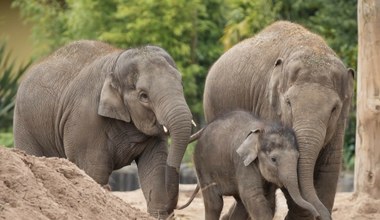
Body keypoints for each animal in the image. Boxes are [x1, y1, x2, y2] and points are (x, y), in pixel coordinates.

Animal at [13, 40, 193, 219]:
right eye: (143, 96)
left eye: (182, 84)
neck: (115, 63)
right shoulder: (85, 119)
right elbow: (93, 170)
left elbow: (155, 165)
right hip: (25, 124)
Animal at [189, 111, 318, 220]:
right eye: (273, 159)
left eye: (298, 157)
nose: (317, 215)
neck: (263, 128)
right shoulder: (242, 163)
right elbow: (253, 196)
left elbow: (269, 201)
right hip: (203, 167)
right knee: (215, 204)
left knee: (240, 204)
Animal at [203, 20, 354, 220]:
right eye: (288, 102)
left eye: (334, 108)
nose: (320, 215)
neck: (311, 46)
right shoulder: (268, 107)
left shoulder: (339, 123)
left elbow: (330, 166)